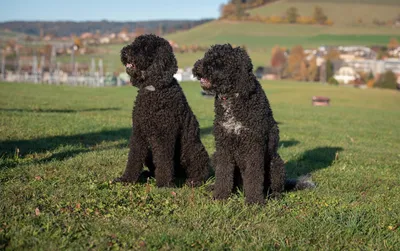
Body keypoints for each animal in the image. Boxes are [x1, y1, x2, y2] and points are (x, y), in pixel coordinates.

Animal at [113, 33, 209, 186]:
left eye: (145, 47)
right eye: (135, 43)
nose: (125, 51)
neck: (153, 89)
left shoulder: (164, 135)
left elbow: (163, 160)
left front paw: (163, 184)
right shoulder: (138, 133)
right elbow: (133, 158)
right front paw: (126, 179)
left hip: (191, 148)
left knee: (200, 169)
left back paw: (194, 181)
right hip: (149, 151)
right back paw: (147, 175)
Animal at [192, 43, 314, 204]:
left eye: (219, 62)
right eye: (207, 56)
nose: (197, 66)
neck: (233, 98)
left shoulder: (253, 146)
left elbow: (254, 176)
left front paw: (254, 201)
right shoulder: (224, 146)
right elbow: (223, 174)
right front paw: (220, 196)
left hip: (276, 163)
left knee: (276, 187)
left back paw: (273, 196)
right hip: (216, 156)